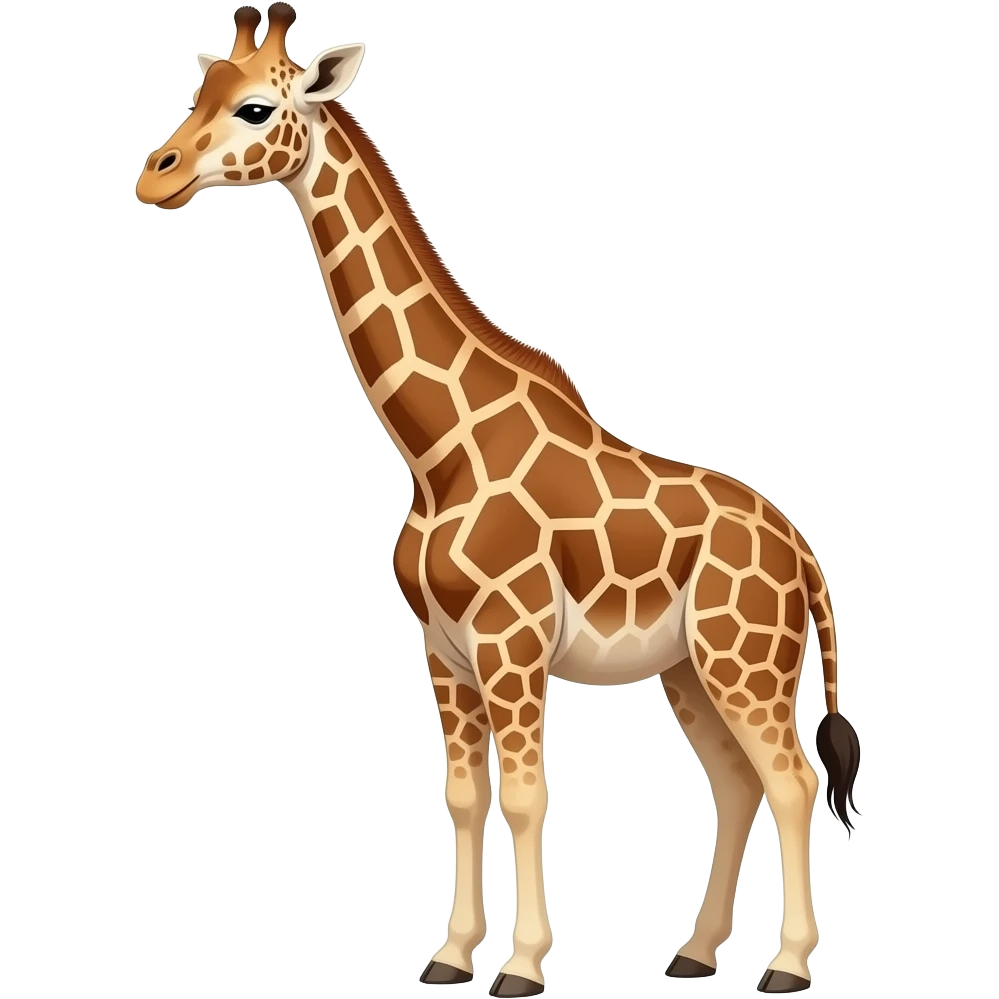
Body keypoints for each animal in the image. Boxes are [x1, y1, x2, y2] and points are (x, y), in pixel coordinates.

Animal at [133, 5, 863, 995]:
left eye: (254, 107)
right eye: (197, 87)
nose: (156, 175)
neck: (436, 451)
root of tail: (803, 553)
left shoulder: (510, 641)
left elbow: (523, 796)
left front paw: (520, 963)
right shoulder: (442, 649)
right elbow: (461, 793)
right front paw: (449, 954)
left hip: (743, 659)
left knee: (789, 778)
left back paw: (784, 964)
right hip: (687, 667)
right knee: (736, 782)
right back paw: (693, 952)